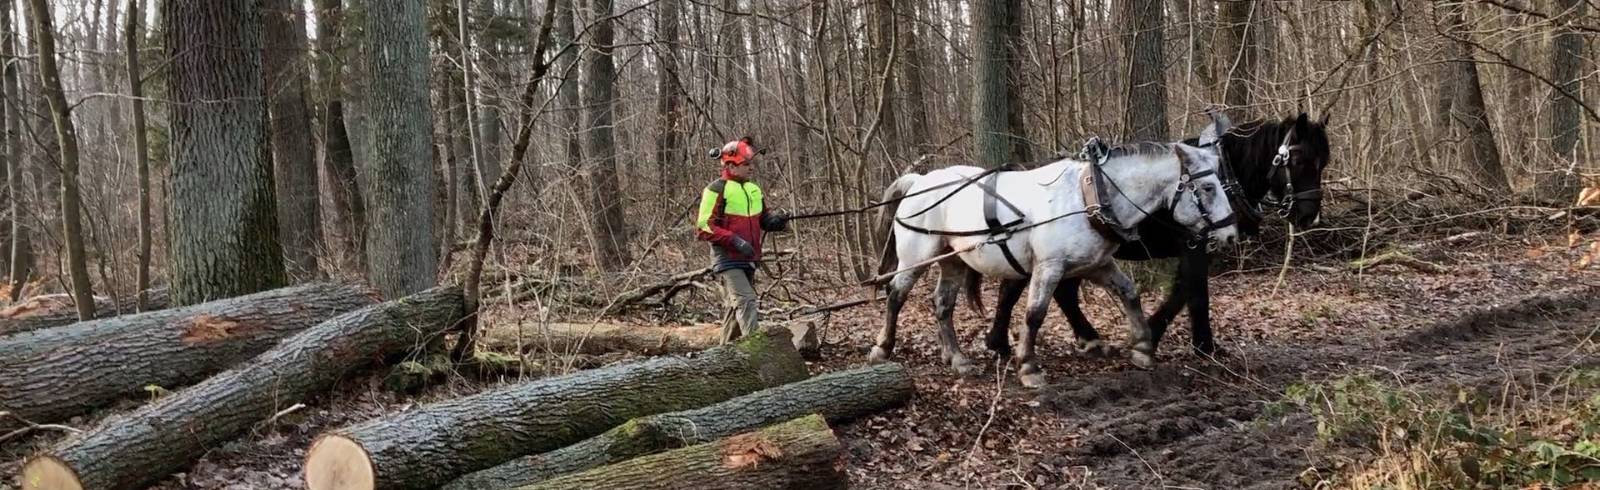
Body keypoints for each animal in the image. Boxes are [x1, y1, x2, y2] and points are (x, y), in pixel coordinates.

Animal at [876, 118, 1235, 385]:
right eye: (1207, 187)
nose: (1231, 233)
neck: (1089, 196)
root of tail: (919, 180)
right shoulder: (1049, 266)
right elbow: (1035, 313)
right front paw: (1028, 366)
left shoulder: (1097, 264)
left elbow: (1129, 294)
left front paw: (1143, 348)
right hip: (916, 257)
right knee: (896, 295)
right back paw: (883, 347)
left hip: (953, 261)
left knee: (942, 304)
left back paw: (957, 358)